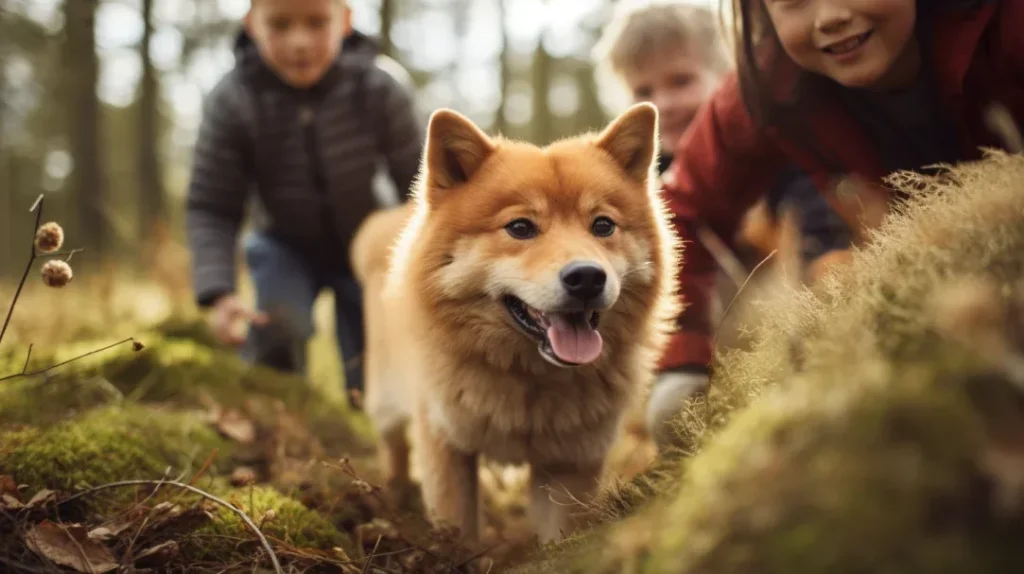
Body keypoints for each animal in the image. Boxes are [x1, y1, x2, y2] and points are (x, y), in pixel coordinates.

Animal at [350, 102, 679, 544]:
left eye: (603, 225)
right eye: (520, 227)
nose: (587, 277)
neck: (527, 382)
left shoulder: (572, 463)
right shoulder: (446, 445)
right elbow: (458, 531)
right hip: (386, 401)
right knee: (394, 448)